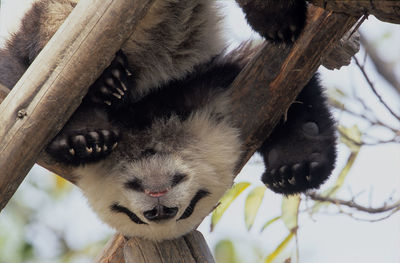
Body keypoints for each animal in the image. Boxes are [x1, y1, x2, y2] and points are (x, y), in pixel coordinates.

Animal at [0, 0, 338, 241]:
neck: (146, 130)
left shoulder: (205, 90)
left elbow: (292, 93)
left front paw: (294, 170)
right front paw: (85, 139)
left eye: (190, 208)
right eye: (127, 214)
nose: (160, 210)